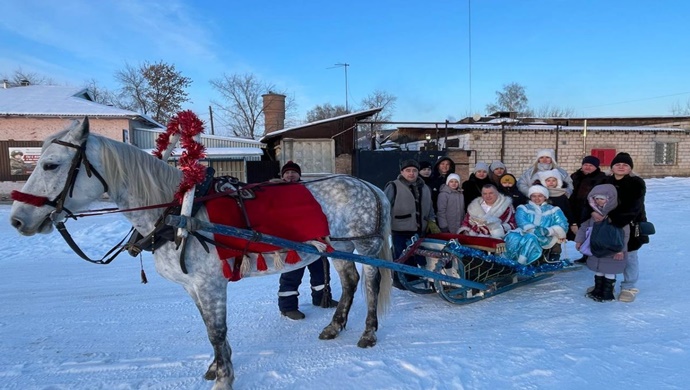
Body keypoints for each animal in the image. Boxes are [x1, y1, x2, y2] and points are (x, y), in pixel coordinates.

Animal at [8, 119, 392, 390]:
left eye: (51, 165)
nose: (17, 219)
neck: (178, 212)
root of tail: (368, 185)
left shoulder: (210, 284)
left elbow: (216, 332)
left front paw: (224, 378)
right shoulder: (192, 286)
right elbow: (209, 329)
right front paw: (216, 367)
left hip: (366, 245)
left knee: (371, 283)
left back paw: (369, 332)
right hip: (340, 246)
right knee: (350, 280)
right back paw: (334, 326)